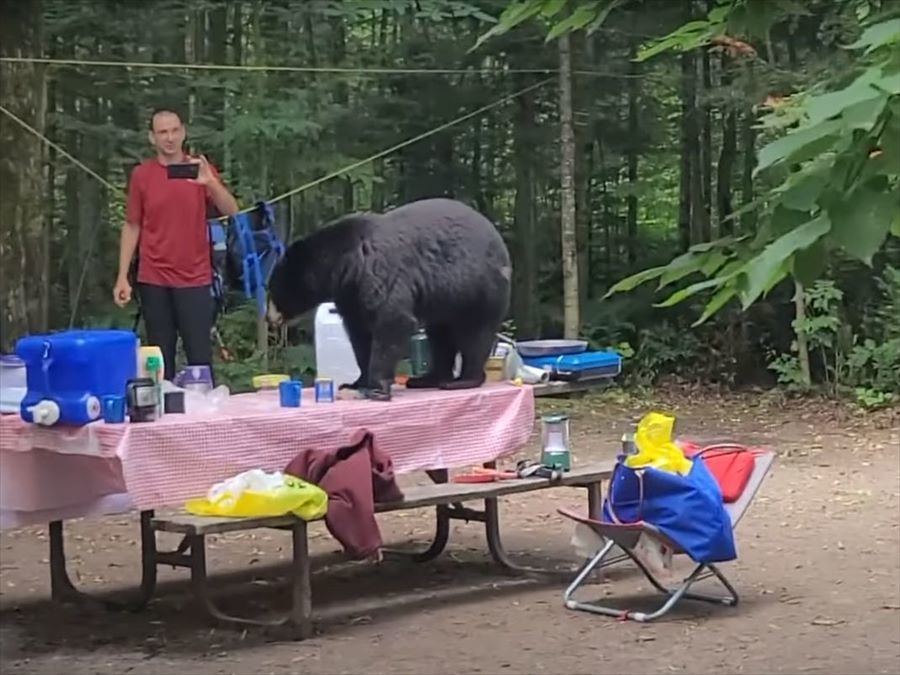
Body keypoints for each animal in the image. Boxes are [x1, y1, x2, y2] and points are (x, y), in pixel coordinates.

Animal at [264, 197, 510, 402]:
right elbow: (359, 334)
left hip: (476, 288)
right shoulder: (350, 296)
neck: (346, 265)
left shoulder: (379, 274)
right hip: (445, 299)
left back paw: (463, 380)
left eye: (272, 289)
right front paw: (355, 383)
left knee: (474, 333)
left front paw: (377, 388)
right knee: (440, 336)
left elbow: (392, 321)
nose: (268, 318)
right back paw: (426, 379)